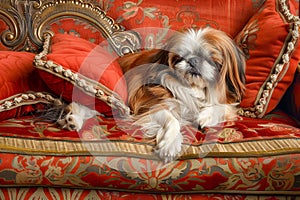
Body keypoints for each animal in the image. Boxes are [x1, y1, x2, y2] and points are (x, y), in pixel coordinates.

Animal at [116, 27, 245, 162]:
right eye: (180, 57)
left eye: (210, 58)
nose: (193, 60)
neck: (195, 88)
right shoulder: (150, 104)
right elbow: (172, 120)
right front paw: (170, 145)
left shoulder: (228, 103)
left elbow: (221, 107)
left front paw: (205, 117)